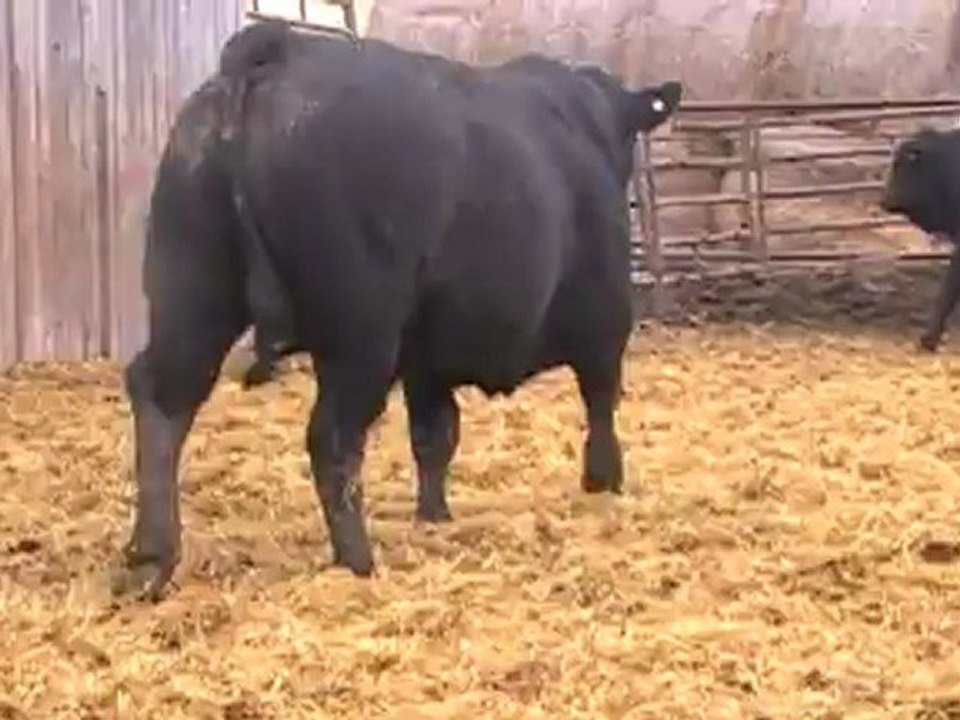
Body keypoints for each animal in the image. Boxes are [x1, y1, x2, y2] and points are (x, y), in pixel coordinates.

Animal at [120, 18, 683, 600]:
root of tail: (276, 51)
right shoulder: (605, 321)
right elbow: (601, 402)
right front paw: (604, 481)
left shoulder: (425, 359)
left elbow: (435, 436)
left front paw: (434, 518)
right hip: (359, 333)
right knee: (332, 438)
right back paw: (357, 561)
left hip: (192, 293)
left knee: (163, 399)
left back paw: (151, 557)